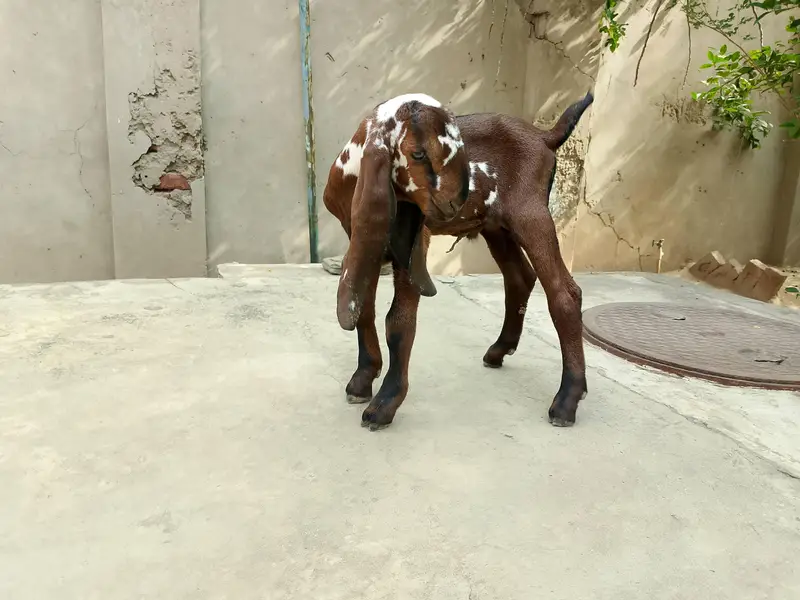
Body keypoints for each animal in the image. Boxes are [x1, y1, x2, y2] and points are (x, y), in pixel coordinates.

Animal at [323, 92, 593, 430]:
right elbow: (363, 309)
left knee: (564, 293)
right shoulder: (362, 240)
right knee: (519, 277)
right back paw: (499, 351)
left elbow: (398, 322)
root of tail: (543, 137)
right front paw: (361, 381)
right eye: (418, 153)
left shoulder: (414, 244)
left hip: (530, 214)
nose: (455, 201)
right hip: (496, 226)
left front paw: (384, 405)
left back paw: (567, 399)